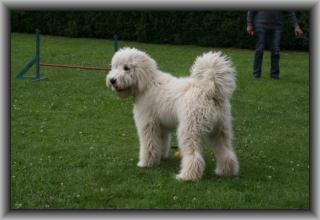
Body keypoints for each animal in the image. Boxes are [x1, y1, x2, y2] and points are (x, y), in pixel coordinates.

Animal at [106, 47, 239, 180]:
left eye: (126, 68)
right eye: (115, 66)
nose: (112, 80)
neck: (147, 83)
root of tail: (209, 89)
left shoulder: (148, 124)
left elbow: (149, 145)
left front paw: (146, 163)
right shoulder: (161, 126)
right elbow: (162, 142)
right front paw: (160, 157)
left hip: (189, 130)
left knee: (194, 155)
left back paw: (186, 176)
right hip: (220, 130)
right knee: (226, 152)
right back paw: (226, 172)